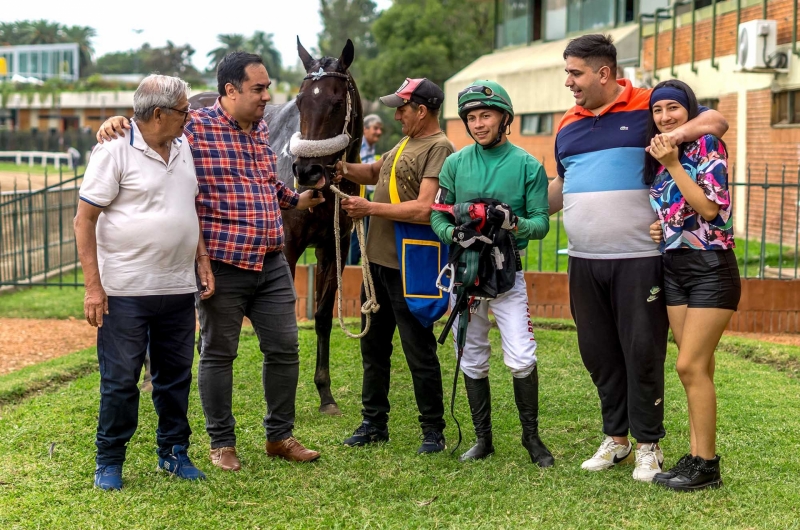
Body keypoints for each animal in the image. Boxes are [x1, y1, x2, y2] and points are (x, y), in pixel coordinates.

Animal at [189, 39, 360, 414]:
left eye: (337, 101)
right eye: (301, 100)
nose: (307, 172)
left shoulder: (333, 247)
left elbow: (322, 316)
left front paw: (325, 393)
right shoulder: (288, 247)